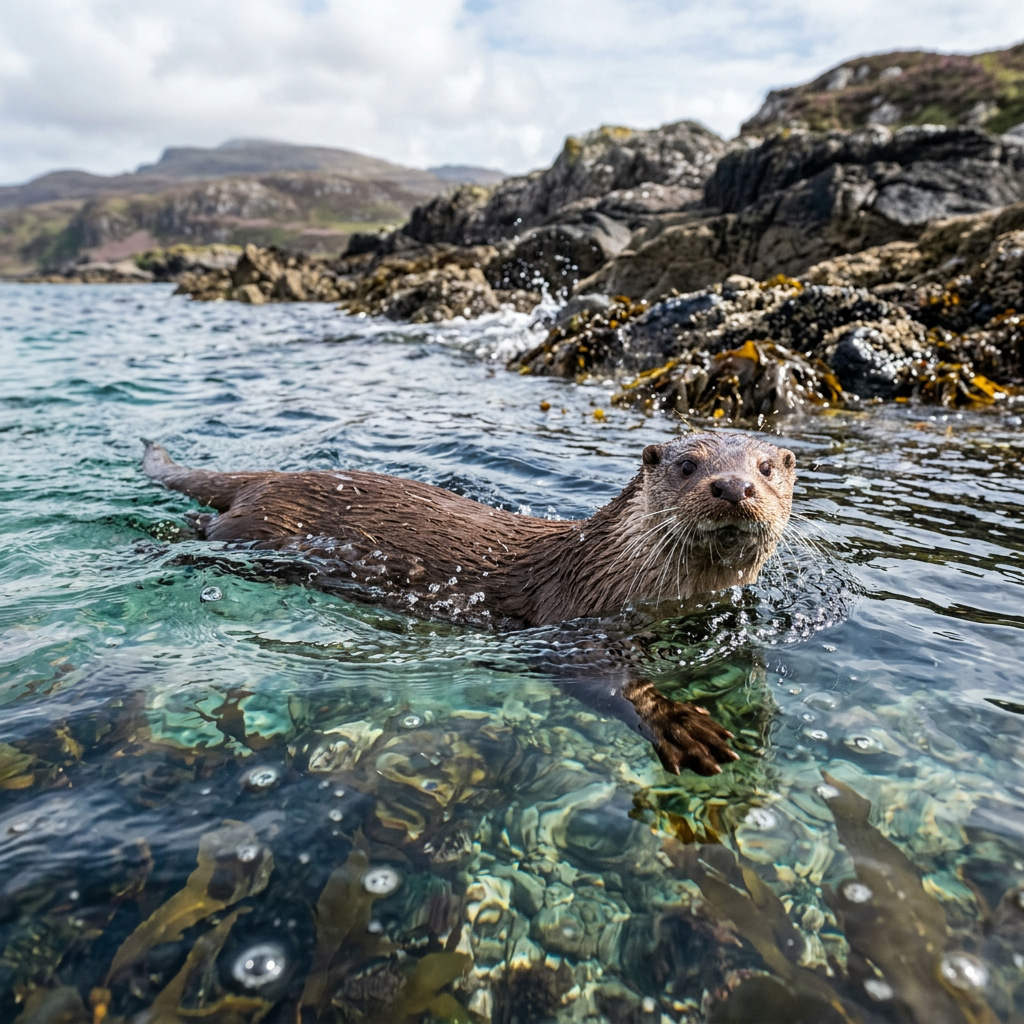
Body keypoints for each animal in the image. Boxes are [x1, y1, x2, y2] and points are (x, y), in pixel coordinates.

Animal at [141, 432, 796, 774]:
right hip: (255, 527)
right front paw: (682, 725)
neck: (611, 569)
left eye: (766, 467)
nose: (734, 486)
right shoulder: (571, 623)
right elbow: (605, 683)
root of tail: (270, 477)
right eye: (688, 466)